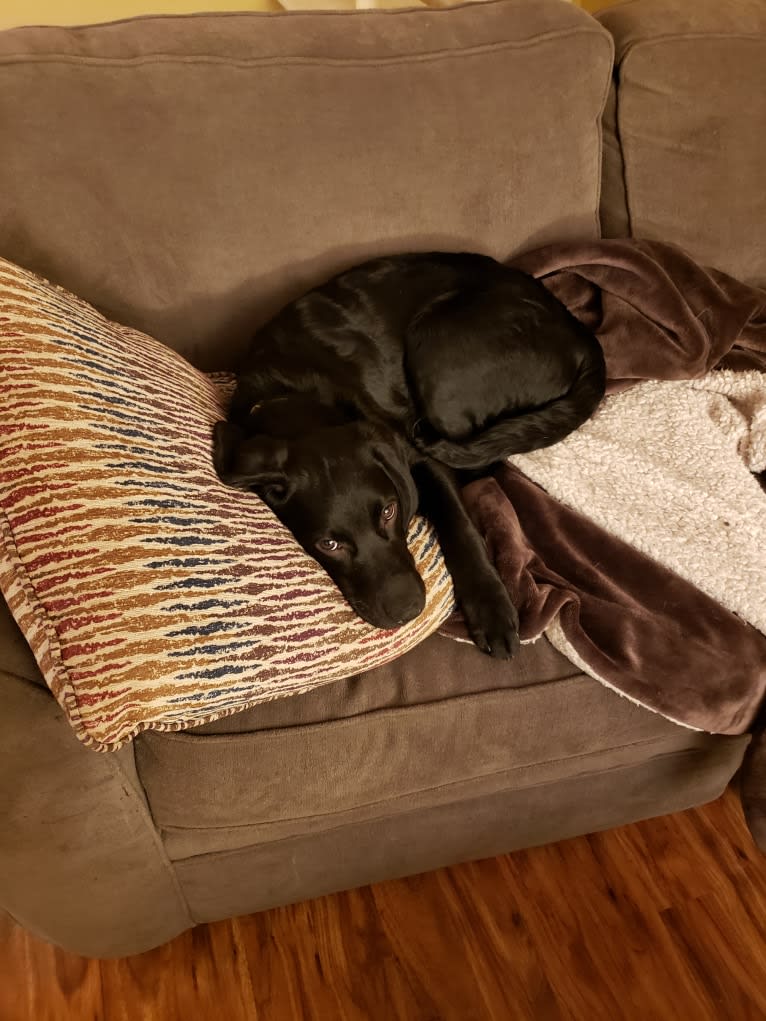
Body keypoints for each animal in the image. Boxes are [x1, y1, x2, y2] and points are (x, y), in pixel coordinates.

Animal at [211, 251, 604, 657]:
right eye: (328, 544)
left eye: (389, 511)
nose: (409, 610)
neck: (292, 394)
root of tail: (582, 335)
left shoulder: (416, 458)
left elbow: (460, 526)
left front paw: (491, 608)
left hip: (438, 354)